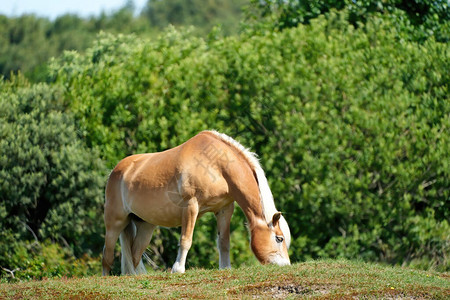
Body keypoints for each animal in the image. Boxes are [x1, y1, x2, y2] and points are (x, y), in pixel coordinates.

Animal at [101, 130, 290, 276]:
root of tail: (117, 171)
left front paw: (225, 268)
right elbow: (186, 239)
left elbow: (224, 242)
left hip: (145, 226)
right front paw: (178, 269)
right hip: (114, 223)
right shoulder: (191, 206)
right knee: (107, 256)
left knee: (134, 256)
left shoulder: (224, 209)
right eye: (279, 238)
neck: (216, 164)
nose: (286, 266)